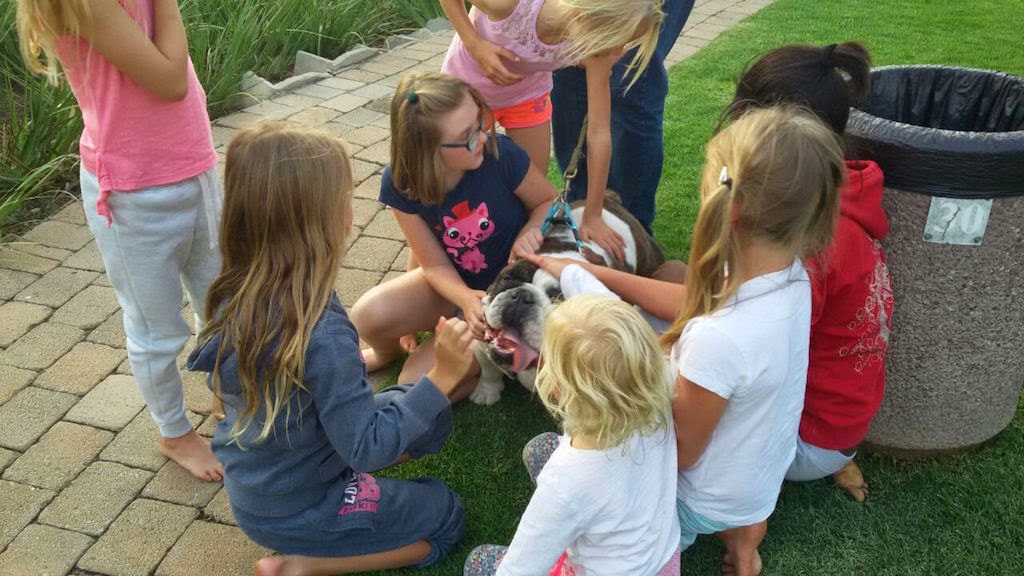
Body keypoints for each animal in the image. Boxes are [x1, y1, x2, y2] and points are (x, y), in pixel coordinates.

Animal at [469, 192, 665, 405]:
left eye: (557, 298)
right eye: (507, 279)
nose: (522, 297)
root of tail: (609, 199)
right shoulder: (482, 339)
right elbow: (486, 366)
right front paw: (486, 390)